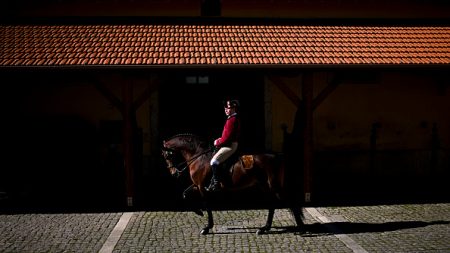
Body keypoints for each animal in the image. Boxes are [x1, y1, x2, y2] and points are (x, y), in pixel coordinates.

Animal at [160, 133, 304, 234]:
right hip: (265, 185)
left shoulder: (201, 187)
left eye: (167, 155)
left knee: (287, 202)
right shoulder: (197, 185)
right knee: (272, 204)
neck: (198, 156)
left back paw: (300, 228)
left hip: (274, 186)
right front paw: (199, 212)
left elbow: (207, 205)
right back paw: (264, 228)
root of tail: (275, 155)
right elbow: (185, 194)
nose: (173, 173)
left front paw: (207, 227)